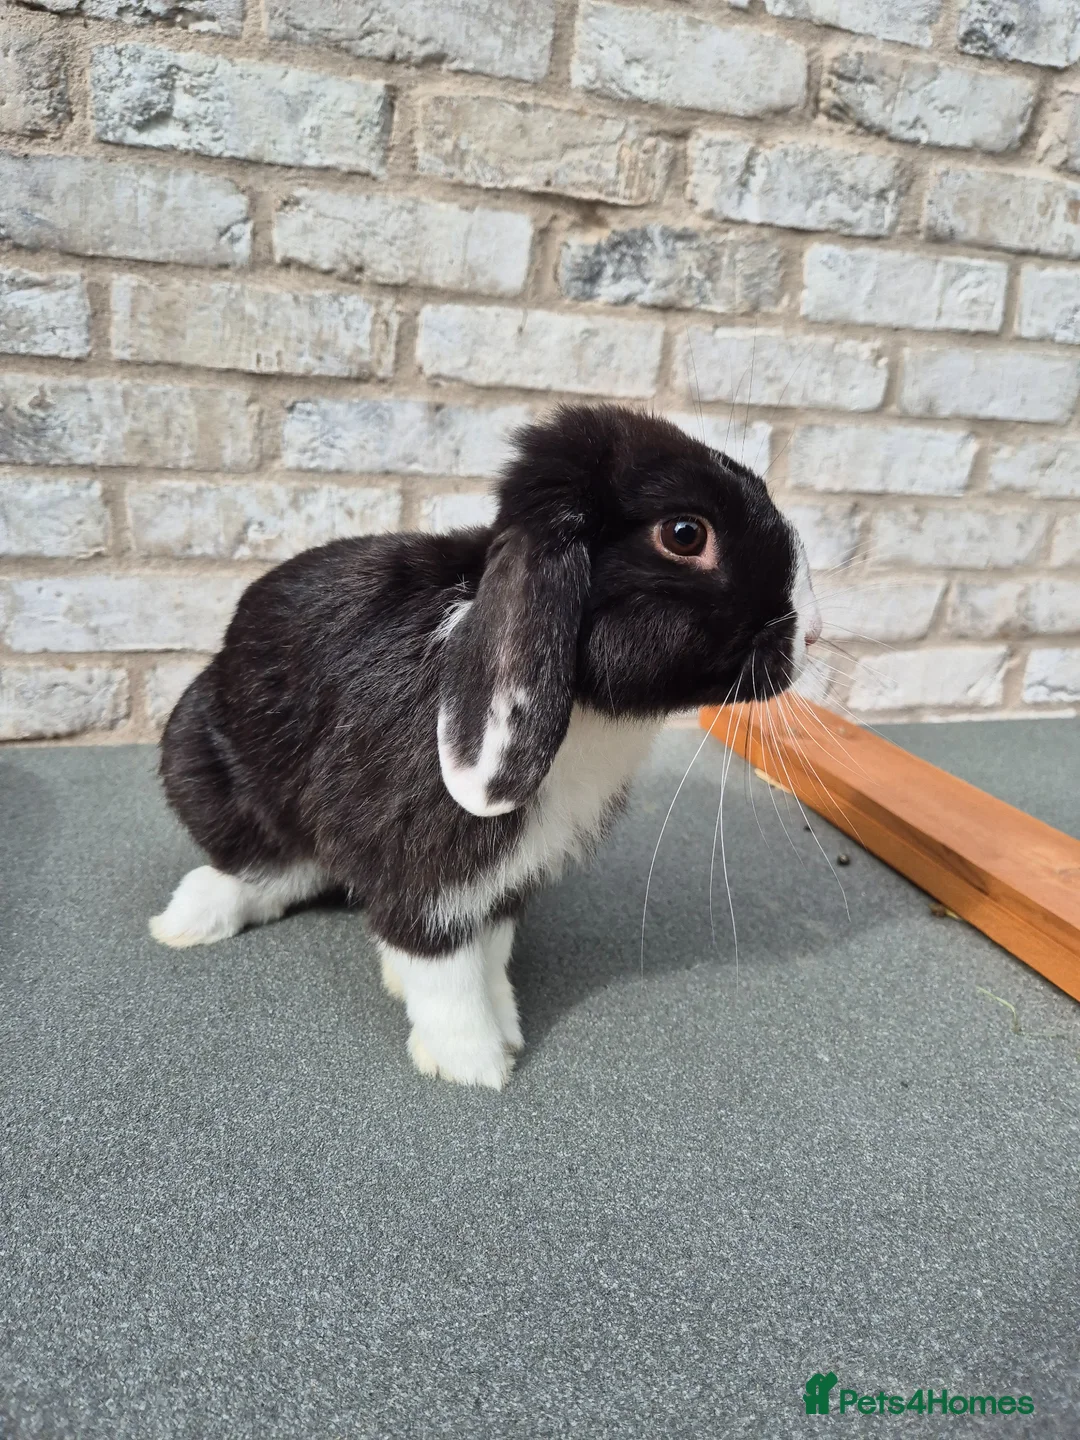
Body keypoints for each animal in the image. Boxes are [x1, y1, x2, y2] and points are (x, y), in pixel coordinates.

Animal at [151, 404, 822, 1089]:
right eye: (685, 534)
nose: (810, 635)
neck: (583, 709)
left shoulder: (505, 876)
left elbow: (490, 949)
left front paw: (506, 1026)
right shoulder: (423, 867)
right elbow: (441, 963)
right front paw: (474, 1063)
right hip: (199, 760)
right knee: (265, 867)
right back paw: (186, 921)